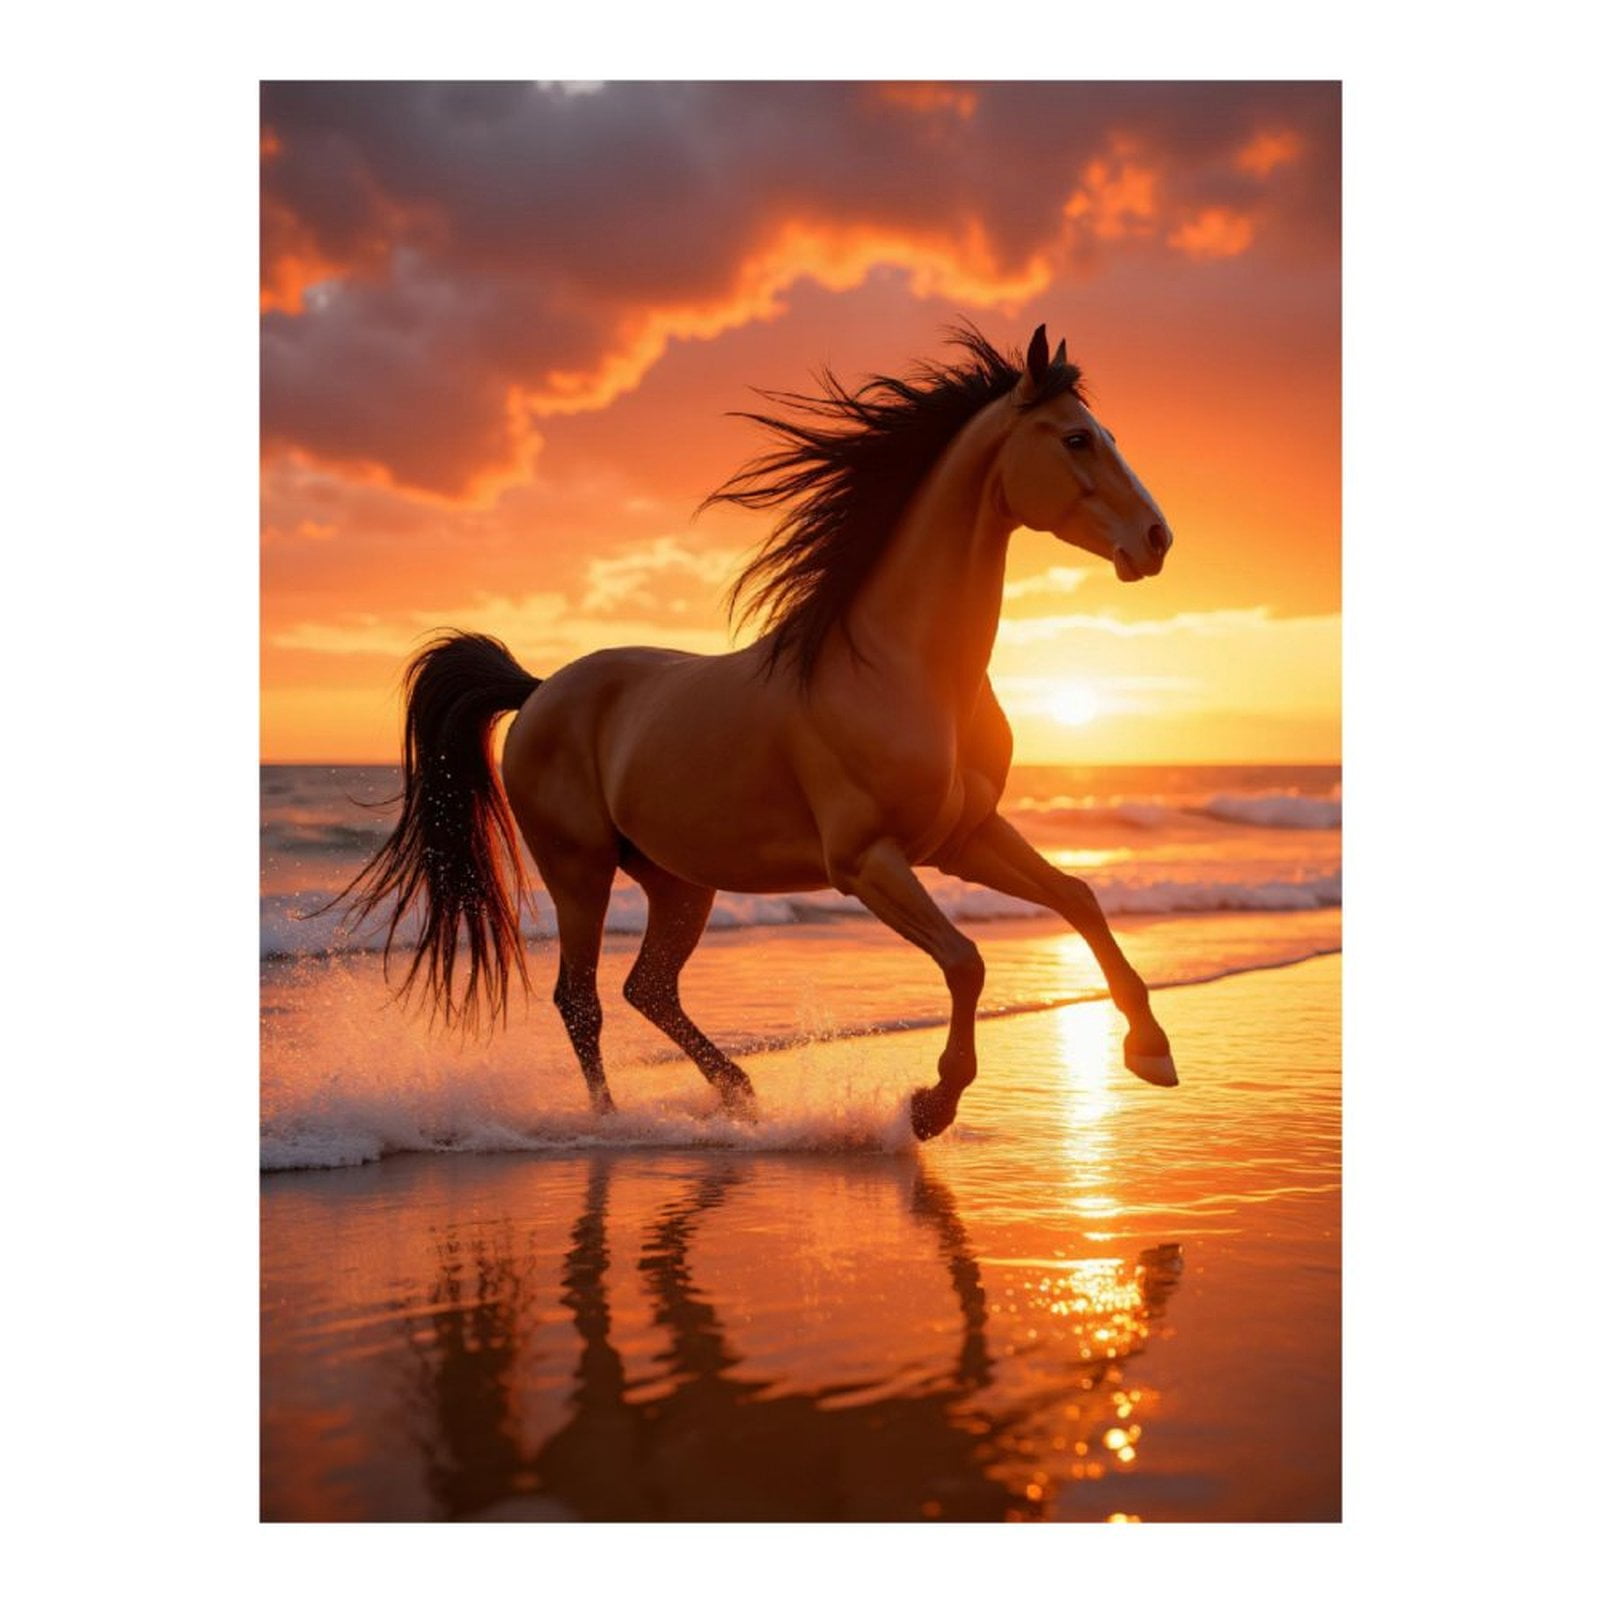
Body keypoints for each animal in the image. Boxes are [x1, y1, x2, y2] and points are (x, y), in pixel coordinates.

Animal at [339, 323, 1177, 1140]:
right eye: (1076, 439)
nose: (1157, 538)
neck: (903, 670)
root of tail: (541, 690)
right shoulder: (867, 861)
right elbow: (966, 960)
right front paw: (930, 1105)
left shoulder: (964, 840)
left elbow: (1078, 898)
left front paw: (1152, 1052)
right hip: (579, 869)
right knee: (581, 999)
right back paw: (614, 1122)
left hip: (679, 881)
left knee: (648, 986)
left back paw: (739, 1094)